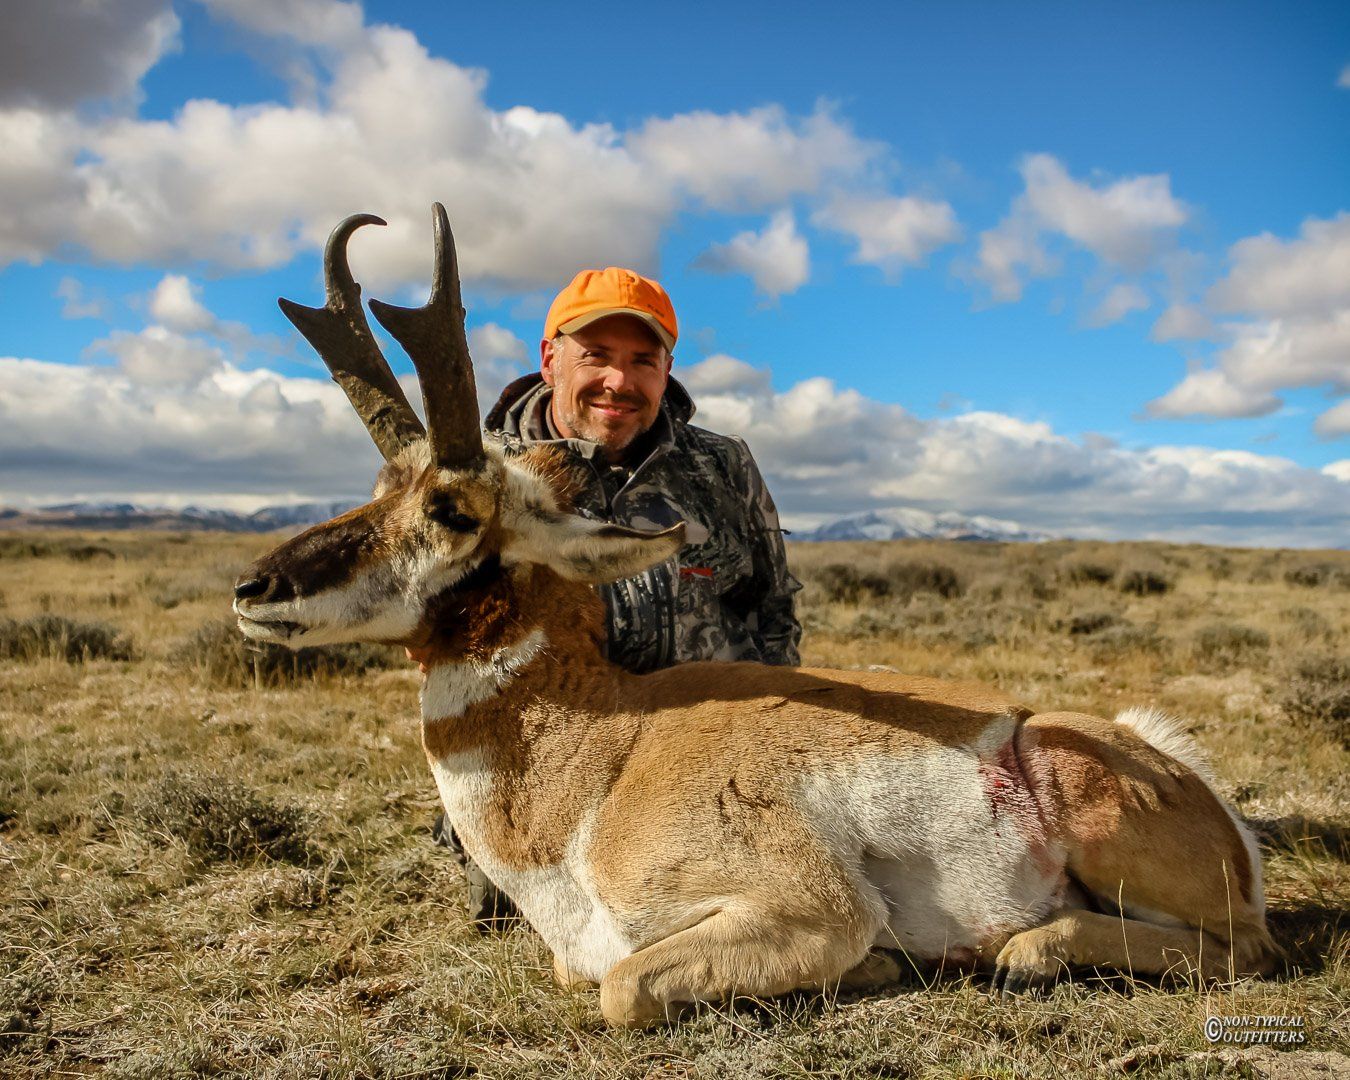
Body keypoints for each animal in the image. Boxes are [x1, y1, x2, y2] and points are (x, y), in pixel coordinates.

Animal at [234, 205, 1277, 1027]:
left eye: (452, 509)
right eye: (380, 488)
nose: (252, 590)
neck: (604, 759)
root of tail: (1189, 781)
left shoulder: (803, 908)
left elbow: (619, 987)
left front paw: (880, 965)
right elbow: (589, 976)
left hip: (1092, 805)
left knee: (1239, 950)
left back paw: (1023, 950)